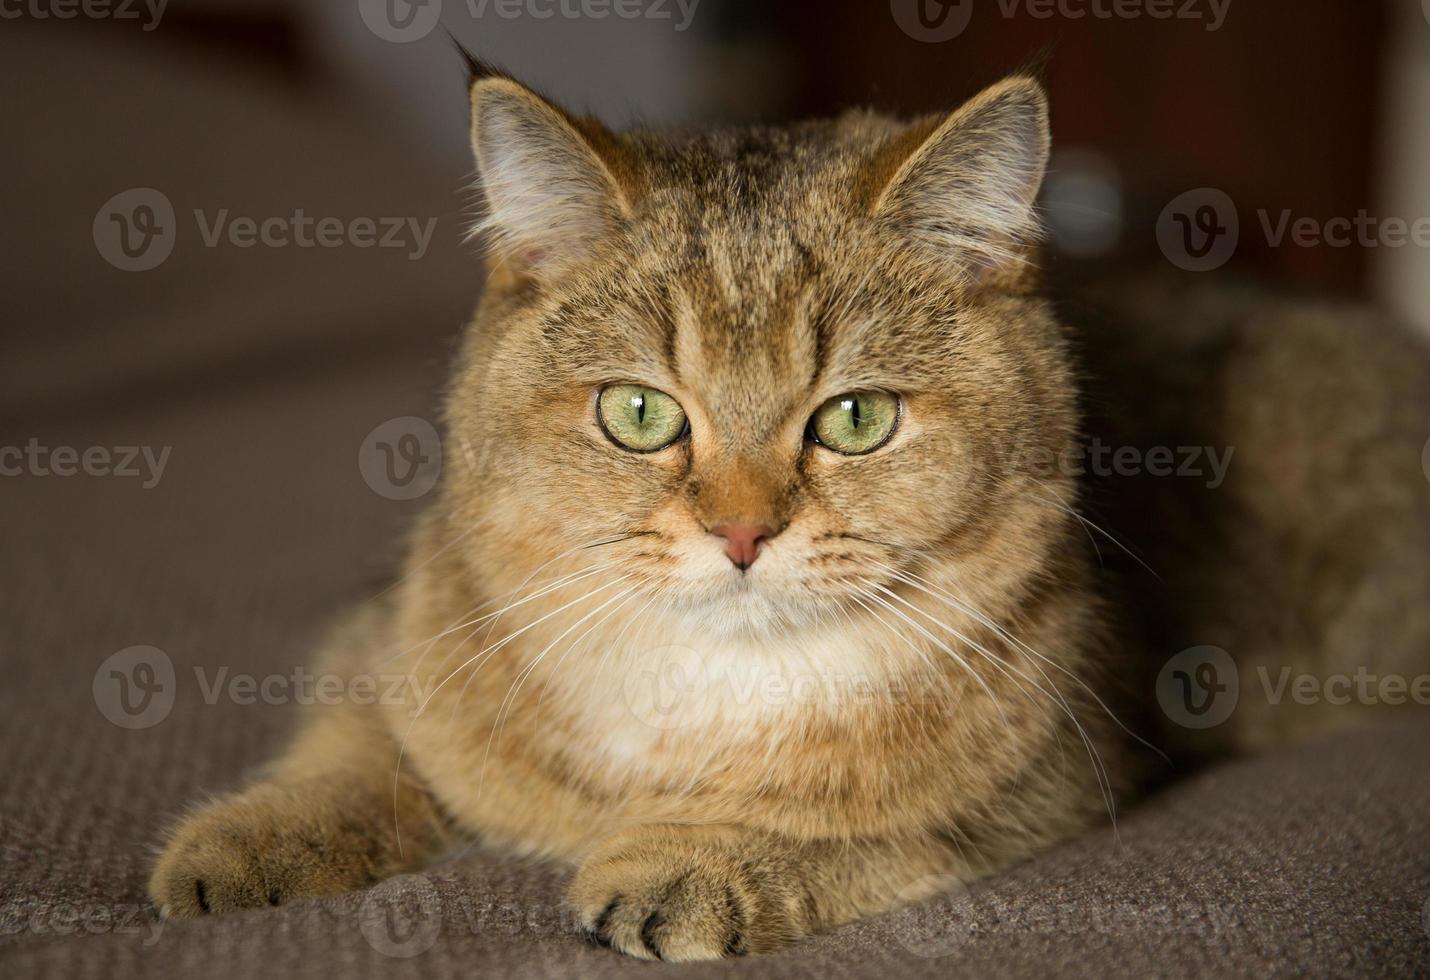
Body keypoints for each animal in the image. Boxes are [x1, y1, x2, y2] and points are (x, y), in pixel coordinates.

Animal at [148, 57, 1430, 961]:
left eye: (853, 418)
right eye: (638, 413)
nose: (740, 532)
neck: (701, 693)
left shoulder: (1059, 772)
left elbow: (862, 826)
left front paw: (703, 854)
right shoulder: (396, 631)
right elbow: (353, 744)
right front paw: (245, 834)